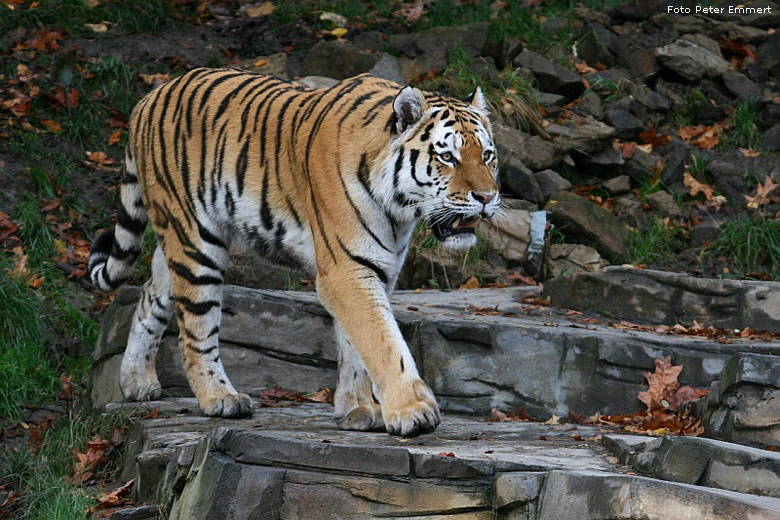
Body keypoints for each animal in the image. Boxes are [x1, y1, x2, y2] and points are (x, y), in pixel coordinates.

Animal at [87, 67, 500, 436]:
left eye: (488, 156)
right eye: (447, 157)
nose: (487, 197)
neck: (398, 209)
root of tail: (149, 97)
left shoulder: (374, 267)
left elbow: (356, 344)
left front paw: (357, 410)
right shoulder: (346, 269)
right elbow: (382, 341)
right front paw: (412, 411)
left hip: (176, 237)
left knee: (150, 296)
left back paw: (136, 382)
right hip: (197, 243)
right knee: (195, 331)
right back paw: (221, 399)